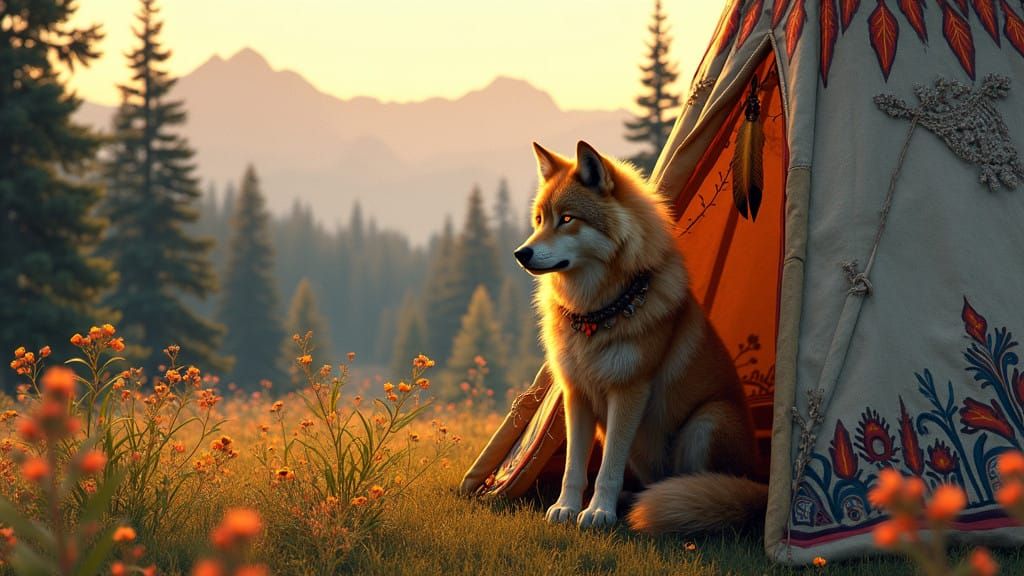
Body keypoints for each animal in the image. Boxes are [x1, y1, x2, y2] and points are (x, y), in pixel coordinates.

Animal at [513, 140, 767, 534]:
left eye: (567, 219)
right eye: (539, 220)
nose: (520, 253)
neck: (596, 313)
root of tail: (760, 483)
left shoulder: (629, 392)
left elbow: (607, 471)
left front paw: (598, 513)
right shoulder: (576, 395)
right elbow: (573, 469)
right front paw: (566, 508)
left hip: (707, 422)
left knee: (698, 483)